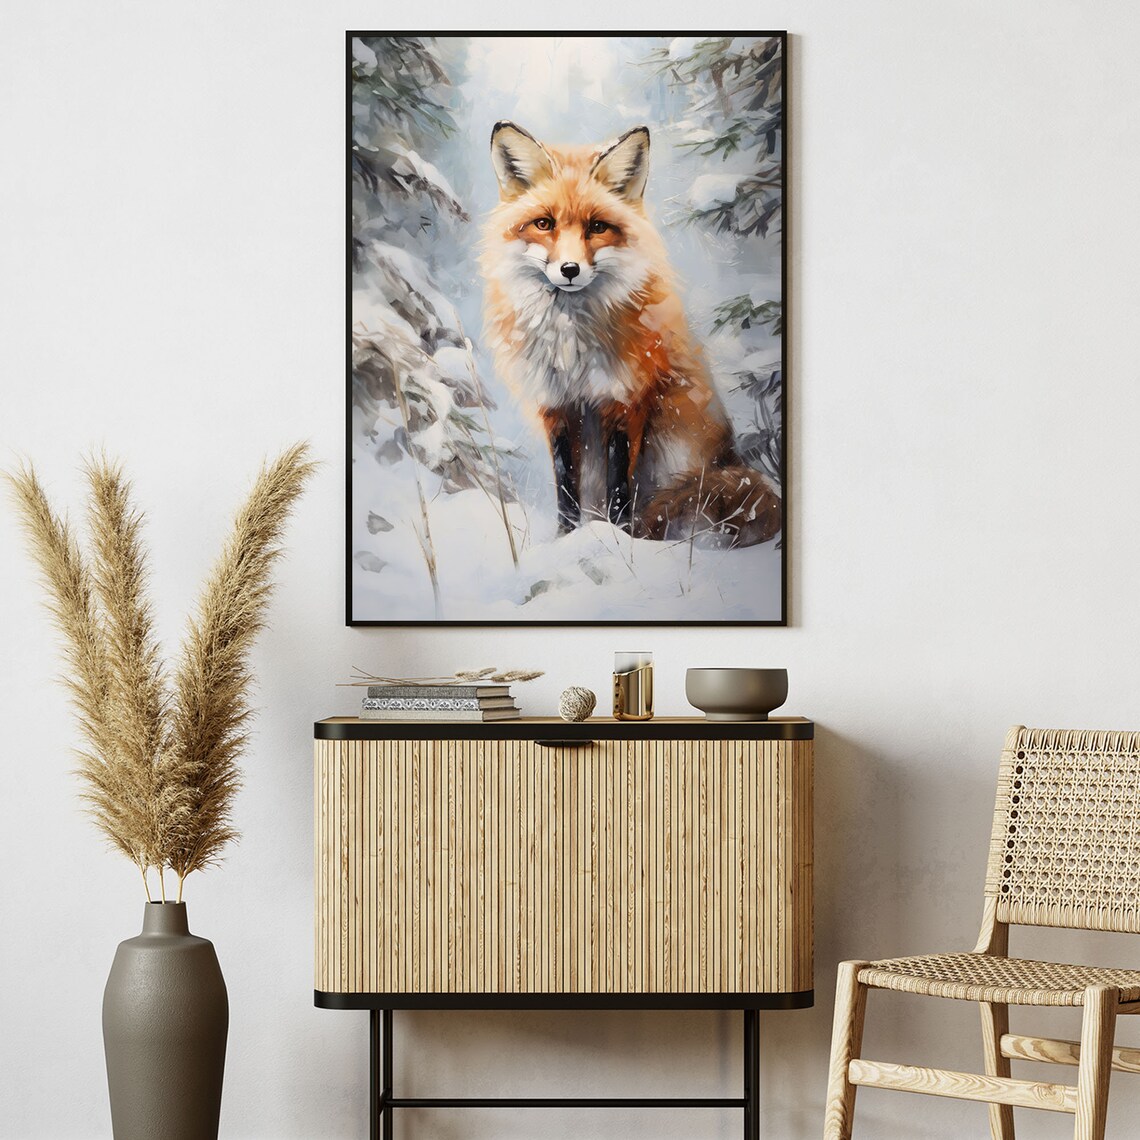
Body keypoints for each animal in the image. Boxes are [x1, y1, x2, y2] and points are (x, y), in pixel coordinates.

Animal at [481, 120, 782, 548]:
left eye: (597, 227)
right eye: (544, 224)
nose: (569, 270)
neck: (572, 346)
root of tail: (732, 459)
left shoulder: (626, 401)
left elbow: (620, 488)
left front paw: (621, 540)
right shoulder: (557, 407)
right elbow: (566, 488)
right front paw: (565, 539)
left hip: (674, 435)